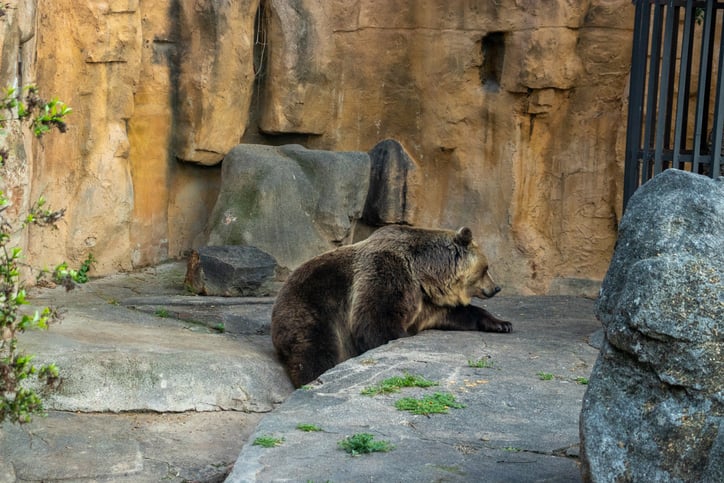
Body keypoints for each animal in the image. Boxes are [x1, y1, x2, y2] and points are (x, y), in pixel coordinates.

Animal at [268, 225, 512, 388]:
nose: (496, 287)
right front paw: (398, 338)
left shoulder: (427, 303)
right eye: (486, 268)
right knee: (316, 350)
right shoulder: (386, 273)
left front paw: (502, 324)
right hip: (311, 309)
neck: (424, 274)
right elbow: (375, 322)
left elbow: (458, 313)